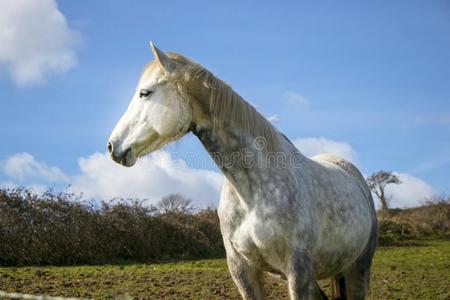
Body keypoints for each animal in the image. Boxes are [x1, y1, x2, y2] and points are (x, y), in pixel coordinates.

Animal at [108, 43, 376, 298]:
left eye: (145, 93)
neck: (252, 193)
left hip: (357, 269)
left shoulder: (297, 272)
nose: (112, 146)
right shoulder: (242, 269)